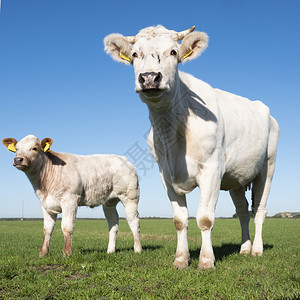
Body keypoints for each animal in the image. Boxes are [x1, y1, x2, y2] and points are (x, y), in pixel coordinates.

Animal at [2, 135, 142, 256]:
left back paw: (138, 249)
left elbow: (67, 227)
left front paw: (67, 253)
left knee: (133, 221)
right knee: (113, 223)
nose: (18, 159)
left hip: (130, 197)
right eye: (17, 149)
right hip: (109, 202)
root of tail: (124, 159)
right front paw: (43, 253)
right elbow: (47, 229)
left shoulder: (70, 200)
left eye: (34, 148)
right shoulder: (45, 204)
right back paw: (110, 251)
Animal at [104, 26, 280, 270]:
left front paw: (206, 260)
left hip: (267, 167)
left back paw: (256, 250)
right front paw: (181, 259)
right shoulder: (166, 174)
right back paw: (244, 248)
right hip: (236, 177)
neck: (172, 128)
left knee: (260, 210)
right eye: (135, 54)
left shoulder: (212, 169)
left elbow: (205, 218)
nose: (149, 77)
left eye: (173, 52)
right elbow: (179, 220)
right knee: (243, 211)